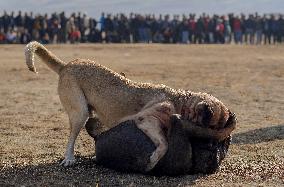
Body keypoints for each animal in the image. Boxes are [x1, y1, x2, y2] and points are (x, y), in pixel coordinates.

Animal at [24, 41, 233, 169]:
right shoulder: (145, 119)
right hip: (80, 112)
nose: (220, 143)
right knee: (71, 137)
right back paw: (69, 158)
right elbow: (164, 143)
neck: (180, 100)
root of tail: (66, 65)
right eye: (214, 127)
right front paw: (153, 160)